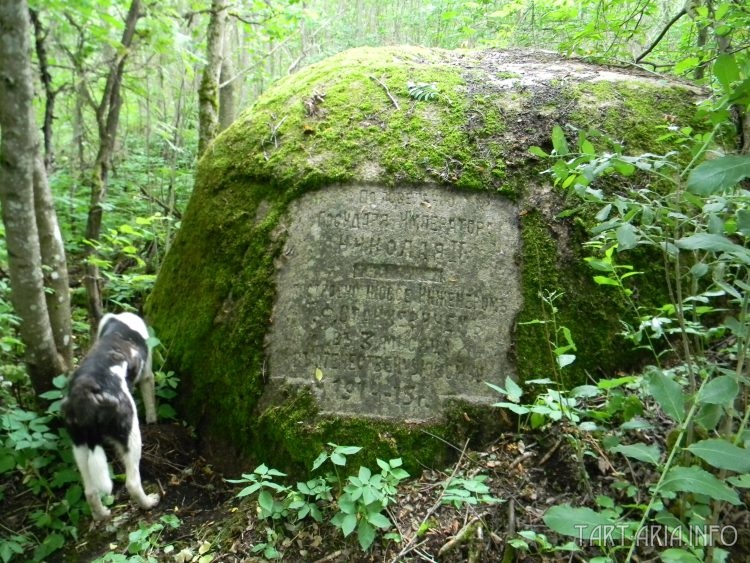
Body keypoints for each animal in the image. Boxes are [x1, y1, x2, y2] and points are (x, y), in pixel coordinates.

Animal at [62, 312, 161, 520]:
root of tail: (86, 394)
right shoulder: (147, 376)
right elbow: (151, 404)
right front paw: (153, 420)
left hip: (79, 448)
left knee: (90, 491)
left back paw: (102, 515)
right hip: (132, 436)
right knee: (132, 483)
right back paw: (149, 503)